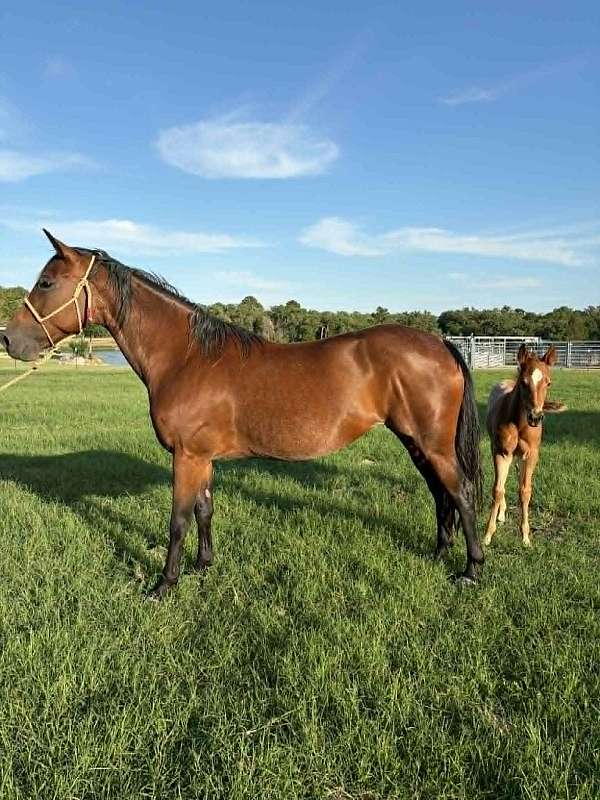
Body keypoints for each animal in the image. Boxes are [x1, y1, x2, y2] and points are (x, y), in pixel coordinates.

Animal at [3, 230, 484, 599]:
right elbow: (204, 511)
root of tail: (440, 343)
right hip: (415, 441)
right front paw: (203, 566)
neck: (186, 357)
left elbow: (177, 521)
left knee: (460, 493)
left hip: (433, 444)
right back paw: (440, 554)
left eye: (46, 282)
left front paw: (164, 585)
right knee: (440, 495)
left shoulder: (186, 457)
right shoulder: (201, 458)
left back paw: (471, 570)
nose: (9, 340)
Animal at [483, 343, 566, 548]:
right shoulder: (502, 452)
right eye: (523, 382)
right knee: (502, 483)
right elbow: (497, 489)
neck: (520, 424)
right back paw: (501, 514)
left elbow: (525, 491)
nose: (535, 417)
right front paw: (488, 535)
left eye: (548, 383)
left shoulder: (530, 456)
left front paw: (526, 537)